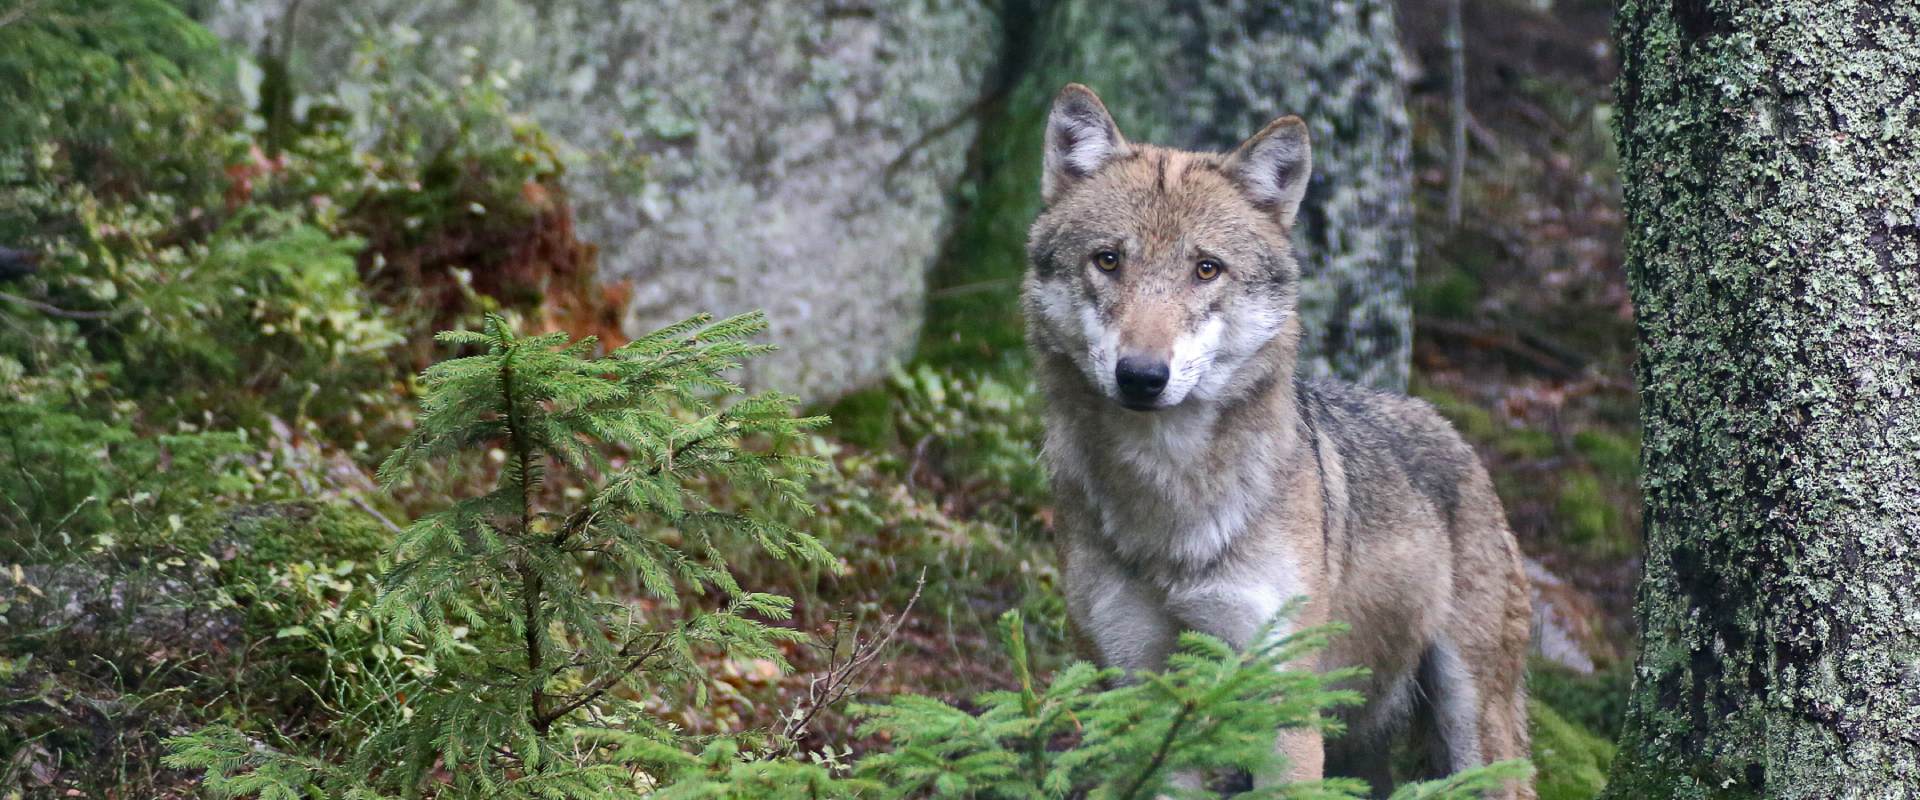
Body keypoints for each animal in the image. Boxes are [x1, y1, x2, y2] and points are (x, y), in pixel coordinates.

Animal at [1021, 84, 1528, 794]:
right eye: (1108, 260)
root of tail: (1455, 434)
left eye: (1207, 269)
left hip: (1471, 725)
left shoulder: (1279, 703)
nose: (1142, 376)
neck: (1170, 501)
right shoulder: (1142, 693)